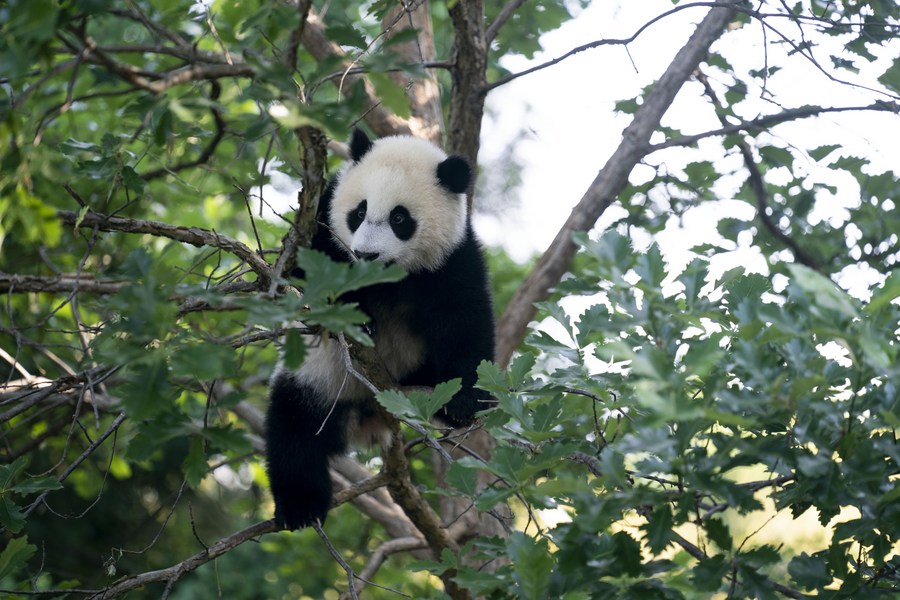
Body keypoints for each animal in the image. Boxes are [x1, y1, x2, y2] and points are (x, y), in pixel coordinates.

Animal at [265, 129, 496, 530]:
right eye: (359, 212)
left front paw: (466, 401)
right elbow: (303, 274)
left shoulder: (452, 259)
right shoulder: (322, 226)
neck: (388, 278)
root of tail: (366, 415)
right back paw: (300, 506)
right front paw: (357, 316)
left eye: (399, 218)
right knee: (292, 430)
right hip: (317, 379)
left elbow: (465, 320)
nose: (365, 255)